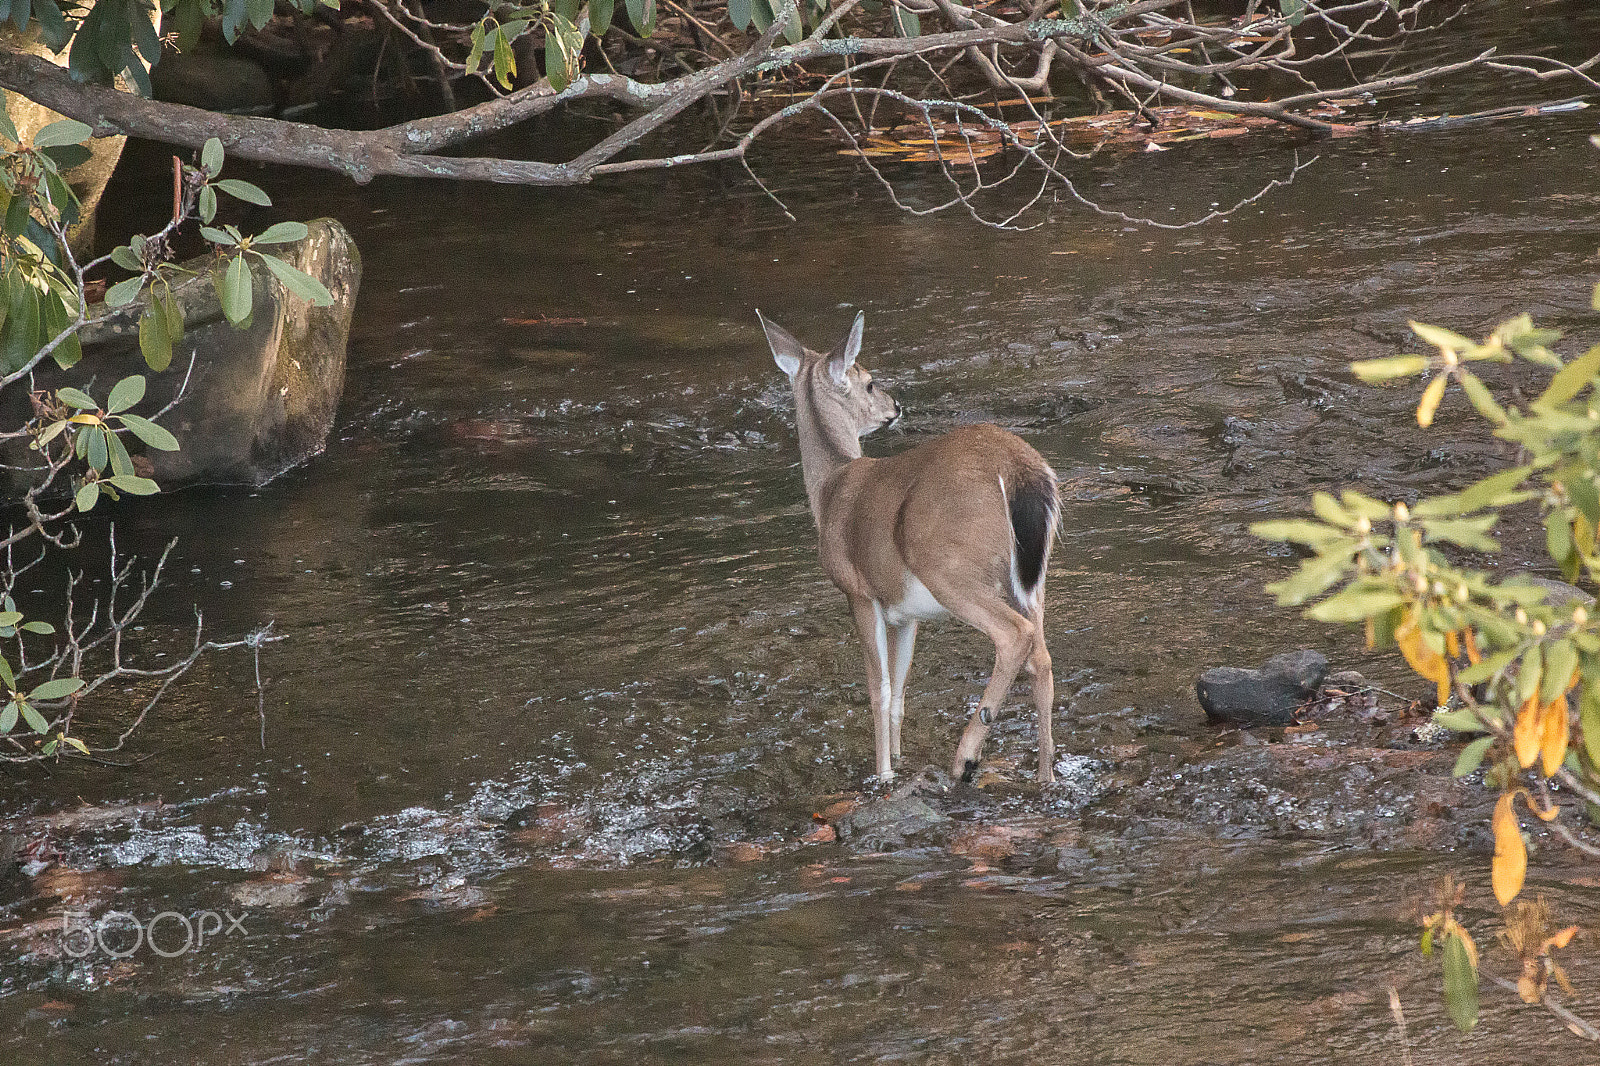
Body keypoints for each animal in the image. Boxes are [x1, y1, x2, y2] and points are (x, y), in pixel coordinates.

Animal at [760, 310, 1061, 786]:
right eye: (869, 383)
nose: (895, 407)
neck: (830, 489)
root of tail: (1020, 469)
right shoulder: (904, 612)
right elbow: (901, 686)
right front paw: (899, 760)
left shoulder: (858, 591)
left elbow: (879, 689)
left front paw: (883, 774)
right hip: (1031, 579)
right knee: (1043, 660)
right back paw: (1045, 773)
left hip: (947, 565)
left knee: (1015, 636)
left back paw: (967, 756)